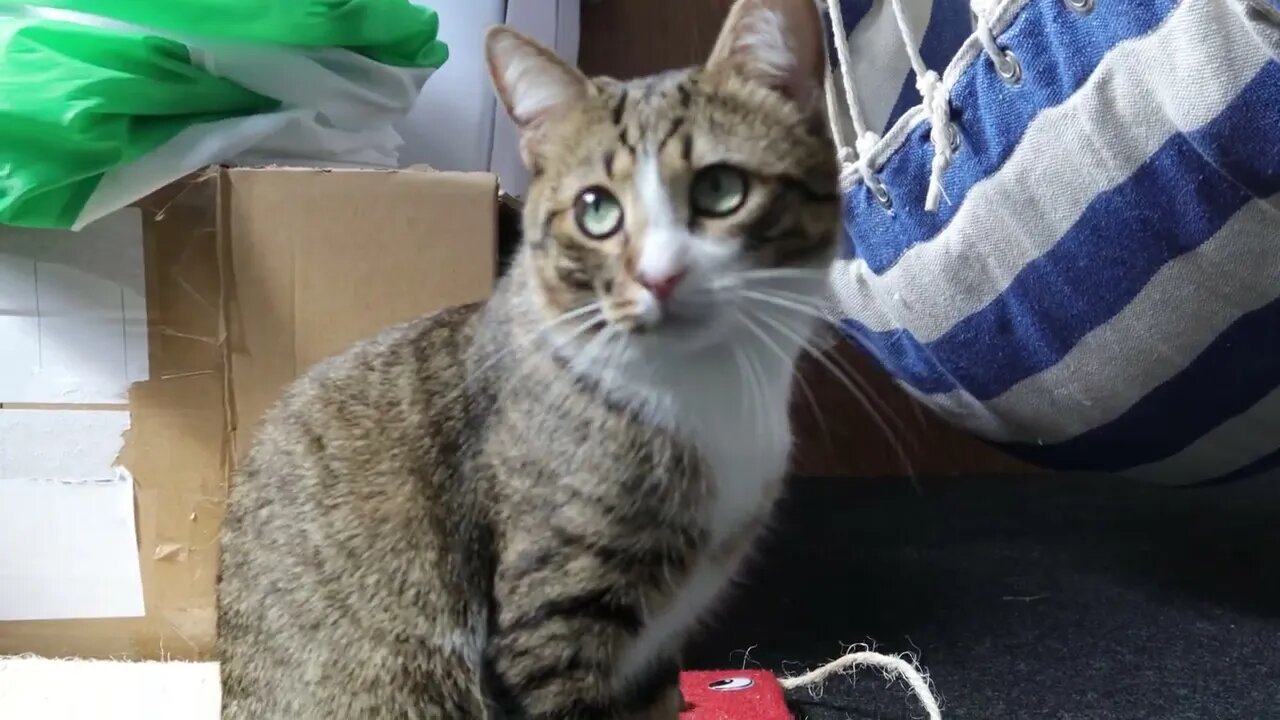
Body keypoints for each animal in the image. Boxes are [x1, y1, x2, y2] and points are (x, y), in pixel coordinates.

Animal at [220, 0, 839, 712]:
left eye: (720, 190)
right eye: (596, 209)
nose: (658, 277)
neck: (703, 388)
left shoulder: (656, 655)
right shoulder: (552, 617)